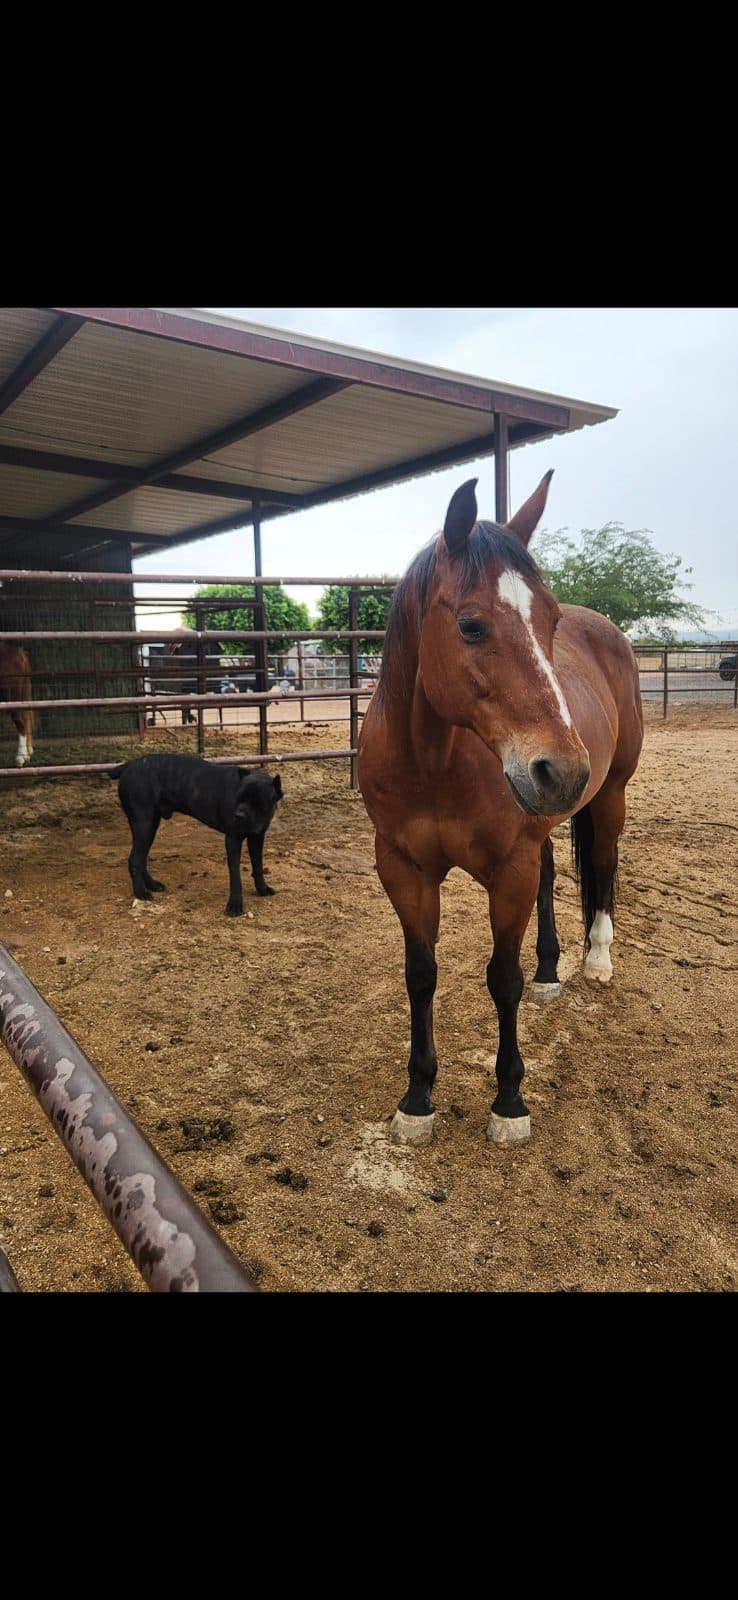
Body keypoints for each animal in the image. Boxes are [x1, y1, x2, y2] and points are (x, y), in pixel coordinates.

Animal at [357, 472, 643, 1147]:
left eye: (550, 621)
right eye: (470, 625)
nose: (565, 770)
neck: (432, 763)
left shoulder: (508, 867)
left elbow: (501, 978)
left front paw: (510, 1100)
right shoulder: (403, 868)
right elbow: (421, 974)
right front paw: (417, 1098)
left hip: (609, 796)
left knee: (604, 865)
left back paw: (597, 959)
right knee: (554, 874)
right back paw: (551, 972)